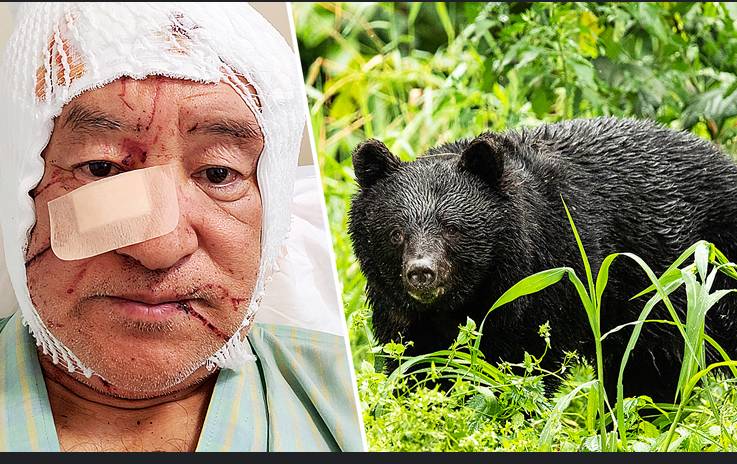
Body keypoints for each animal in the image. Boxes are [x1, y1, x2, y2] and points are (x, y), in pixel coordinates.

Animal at [347, 117, 737, 403]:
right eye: (396, 233)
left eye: (452, 228)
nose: (421, 273)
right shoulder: (404, 313)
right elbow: (415, 363)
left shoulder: (550, 279)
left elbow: (525, 364)